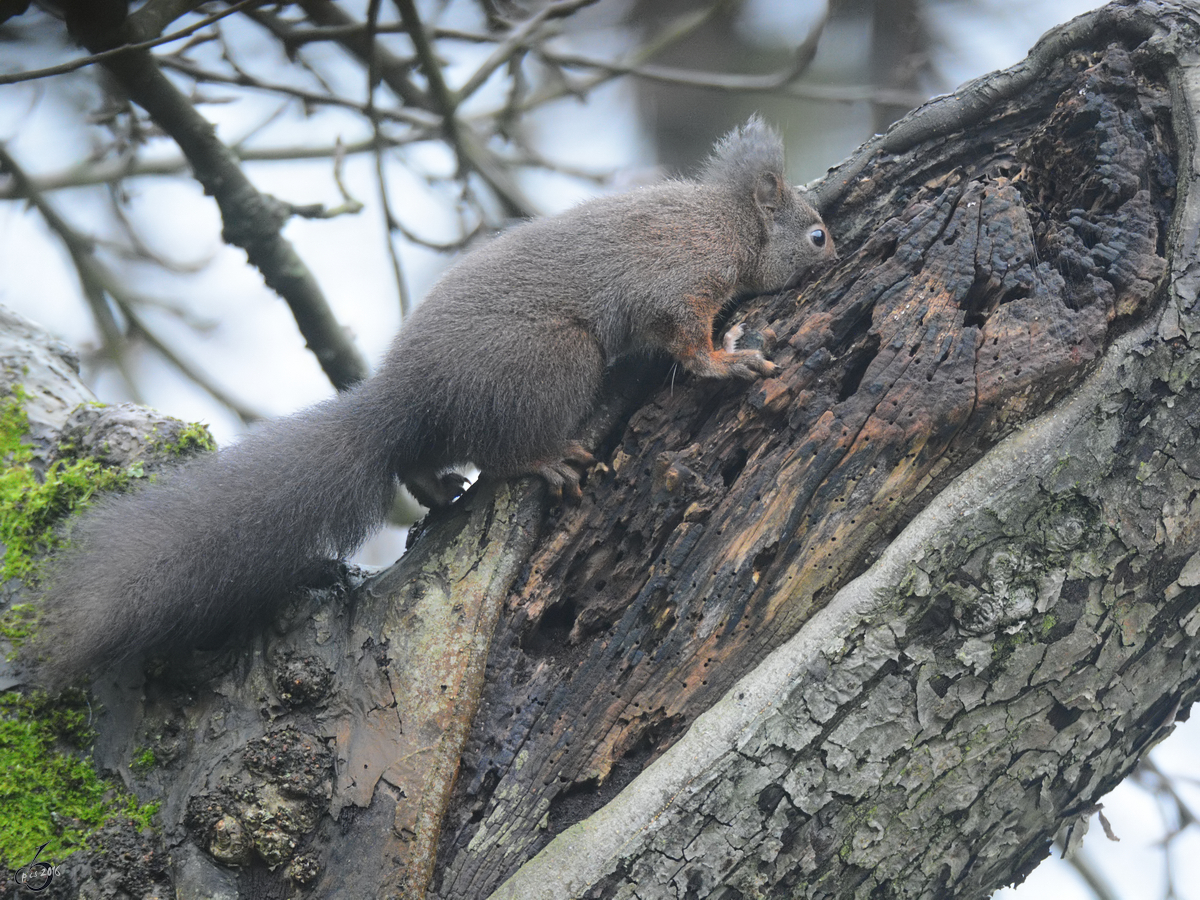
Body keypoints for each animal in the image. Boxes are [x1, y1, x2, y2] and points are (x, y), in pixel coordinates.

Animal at [25, 114, 835, 691]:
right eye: (818, 234)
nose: (833, 248)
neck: (729, 223)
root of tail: (402, 400)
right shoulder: (678, 280)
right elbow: (686, 341)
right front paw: (729, 362)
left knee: (421, 460)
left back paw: (439, 488)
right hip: (553, 364)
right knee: (503, 451)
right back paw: (545, 460)